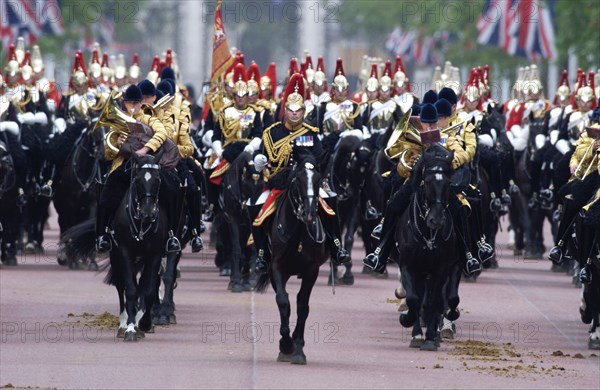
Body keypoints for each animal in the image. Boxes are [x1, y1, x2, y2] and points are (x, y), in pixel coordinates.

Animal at [253, 154, 328, 364]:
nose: (309, 213)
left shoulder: (312, 270)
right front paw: (285, 345)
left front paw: (298, 349)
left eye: (318, 180)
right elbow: (283, 301)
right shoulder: (277, 268)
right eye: (297, 180)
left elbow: (302, 306)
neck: (298, 234)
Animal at [396, 145, 462, 352]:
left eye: (448, 183)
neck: (429, 235)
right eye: (427, 181)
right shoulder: (408, 266)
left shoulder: (442, 267)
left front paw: (431, 338)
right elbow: (413, 299)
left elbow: (436, 301)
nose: (436, 220)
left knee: (445, 298)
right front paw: (411, 327)